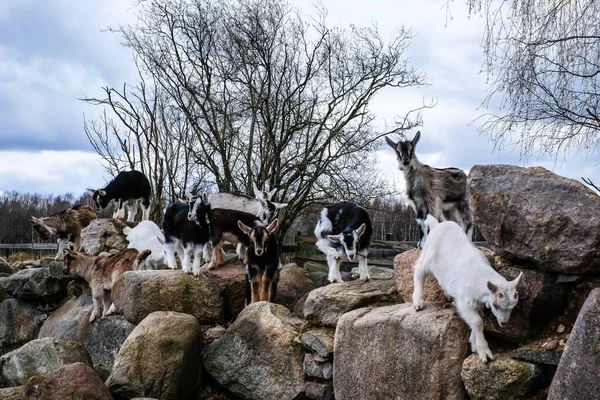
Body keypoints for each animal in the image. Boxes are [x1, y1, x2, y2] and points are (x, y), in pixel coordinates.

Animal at [410, 216, 524, 362]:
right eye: (496, 305)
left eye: (512, 307)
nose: (504, 324)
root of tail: (436, 224)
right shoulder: (464, 301)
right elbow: (478, 322)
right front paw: (483, 351)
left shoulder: (478, 303)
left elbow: (478, 320)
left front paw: (473, 344)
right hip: (427, 257)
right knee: (419, 271)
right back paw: (418, 301)